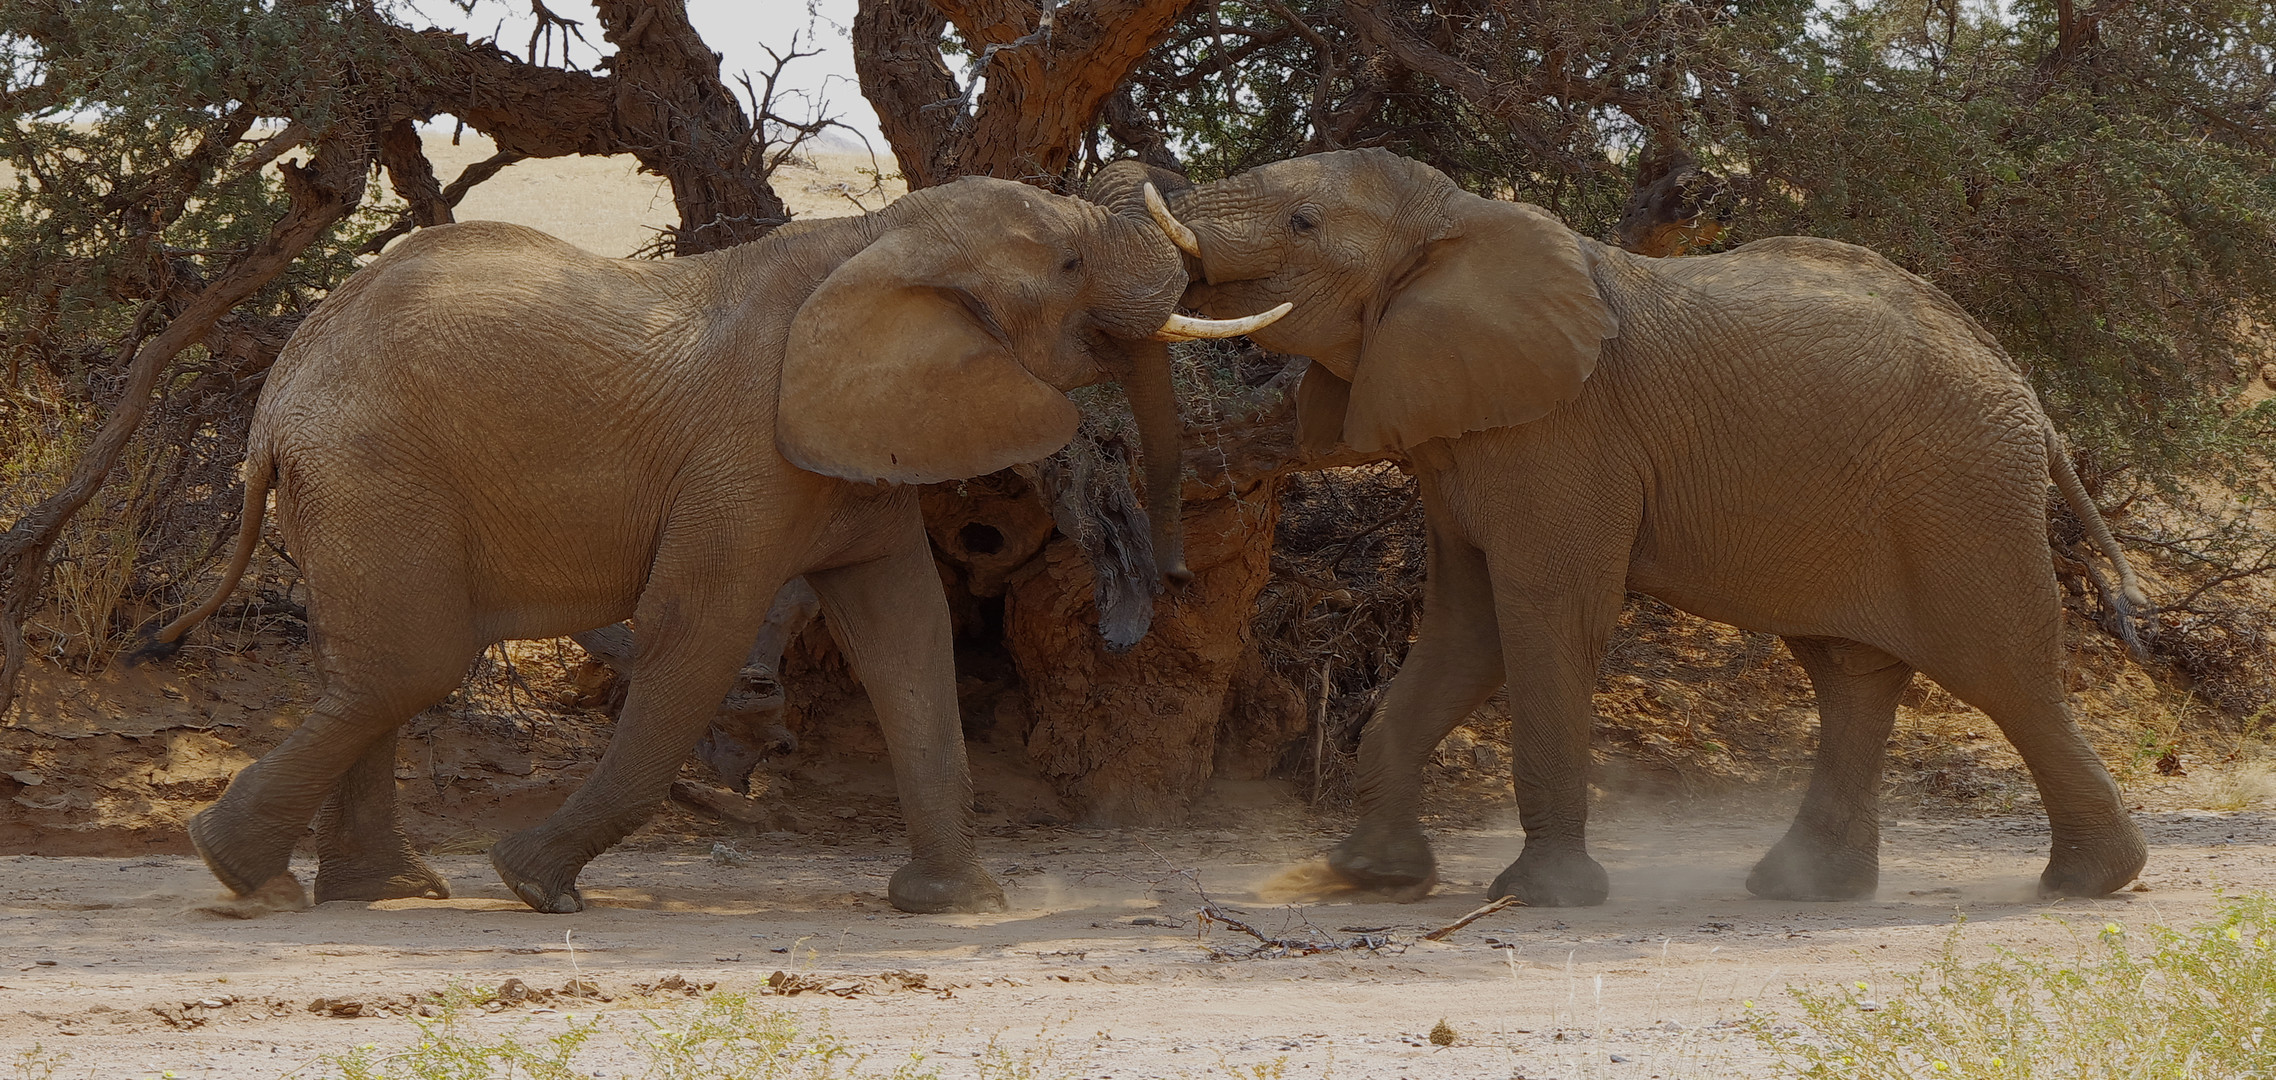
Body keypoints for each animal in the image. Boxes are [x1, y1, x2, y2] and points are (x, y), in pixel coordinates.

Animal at [137, 172, 1283, 918]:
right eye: (1071, 261)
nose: (1167, 580)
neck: (873, 233)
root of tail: (275, 397)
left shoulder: (851, 444)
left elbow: (903, 630)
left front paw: (953, 905)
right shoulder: (745, 455)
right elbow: (700, 631)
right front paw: (531, 885)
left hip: (354, 485)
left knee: (375, 668)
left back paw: (367, 890)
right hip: (373, 471)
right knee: (411, 665)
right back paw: (244, 875)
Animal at [1101, 152, 2148, 909]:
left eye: (1304, 224)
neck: (1463, 220)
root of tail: (2027, 394)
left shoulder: (1563, 436)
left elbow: (1543, 617)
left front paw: (1542, 900)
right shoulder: (1461, 437)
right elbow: (1466, 630)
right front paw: (1367, 879)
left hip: (1962, 495)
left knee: (2003, 672)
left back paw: (2087, 884)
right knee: (1850, 673)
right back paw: (1802, 890)